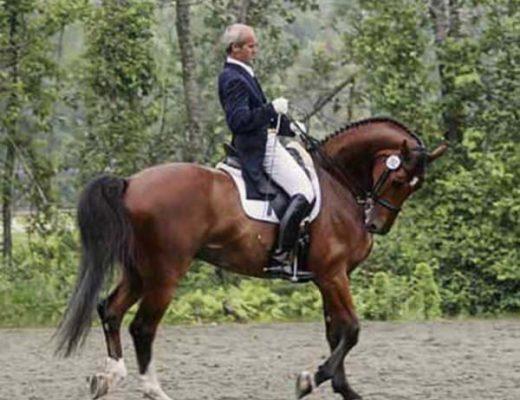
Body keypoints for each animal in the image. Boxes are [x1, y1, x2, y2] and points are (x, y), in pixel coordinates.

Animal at [55, 116, 446, 400]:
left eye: (415, 185)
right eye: (397, 178)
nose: (377, 225)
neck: (337, 184)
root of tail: (130, 183)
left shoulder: (327, 278)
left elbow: (335, 332)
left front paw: (343, 388)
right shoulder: (333, 274)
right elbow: (350, 330)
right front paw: (308, 380)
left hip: (140, 270)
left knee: (110, 309)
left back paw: (108, 377)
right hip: (165, 272)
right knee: (142, 326)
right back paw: (153, 389)